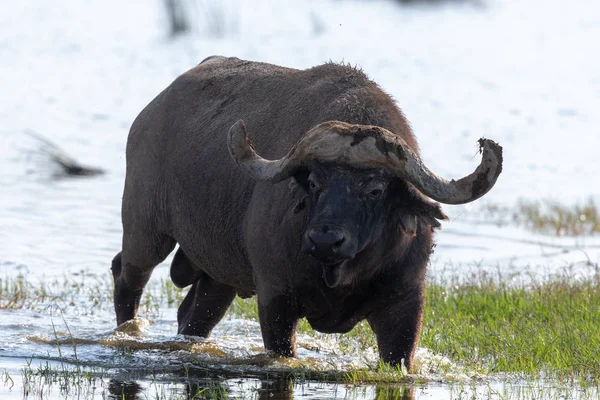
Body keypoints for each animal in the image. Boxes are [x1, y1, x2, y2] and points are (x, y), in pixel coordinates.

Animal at [111, 54, 502, 370]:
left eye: (375, 190)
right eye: (314, 182)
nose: (325, 240)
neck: (340, 272)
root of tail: (150, 113)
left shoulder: (406, 305)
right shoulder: (275, 300)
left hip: (218, 274)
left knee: (195, 314)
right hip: (145, 232)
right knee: (127, 278)